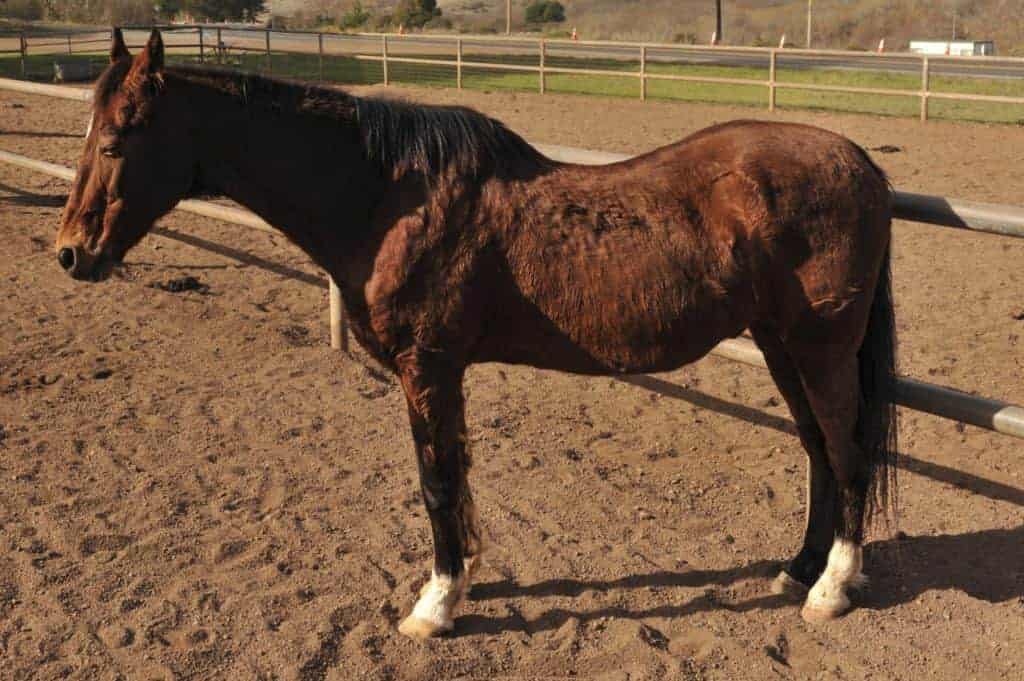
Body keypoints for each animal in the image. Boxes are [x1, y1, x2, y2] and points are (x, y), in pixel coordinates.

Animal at [56, 29, 898, 639]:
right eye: (88, 130)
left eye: (118, 138)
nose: (71, 252)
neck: (387, 198)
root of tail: (859, 161)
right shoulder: (440, 371)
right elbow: (453, 477)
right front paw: (460, 579)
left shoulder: (427, 367)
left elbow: (435, 481)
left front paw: (435, 604)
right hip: (779, 344)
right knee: (820, 450)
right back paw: (798, 567)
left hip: (819, 348)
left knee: (847, 449)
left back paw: (830, 587)